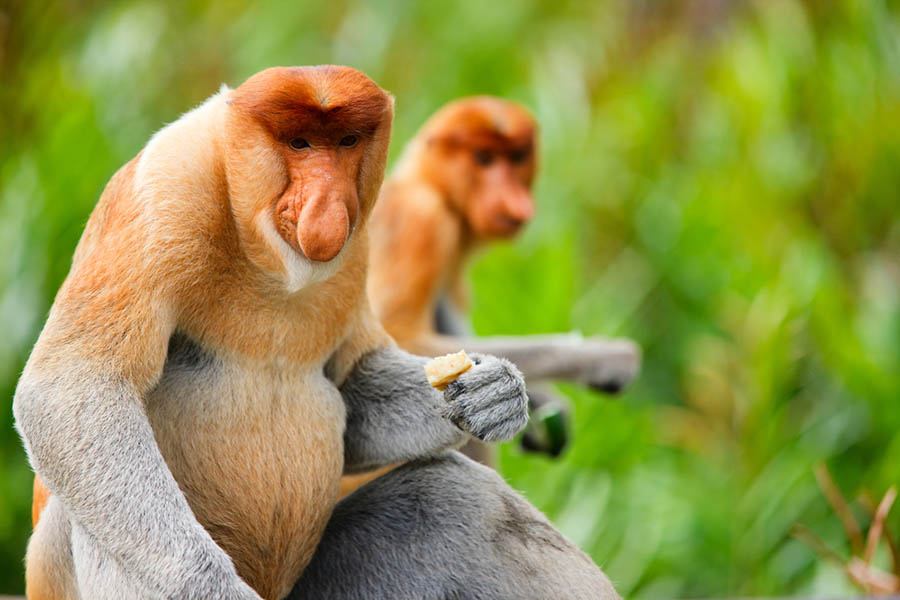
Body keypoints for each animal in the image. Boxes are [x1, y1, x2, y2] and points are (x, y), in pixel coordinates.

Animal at [15, 67, 620, 600]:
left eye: (346, 142)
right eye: (300, 143)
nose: (327, 204)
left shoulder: (360, 243)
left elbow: (356, 392)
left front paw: (497, 394)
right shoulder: (164, 192)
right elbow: (73, 389)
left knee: (458, 501)